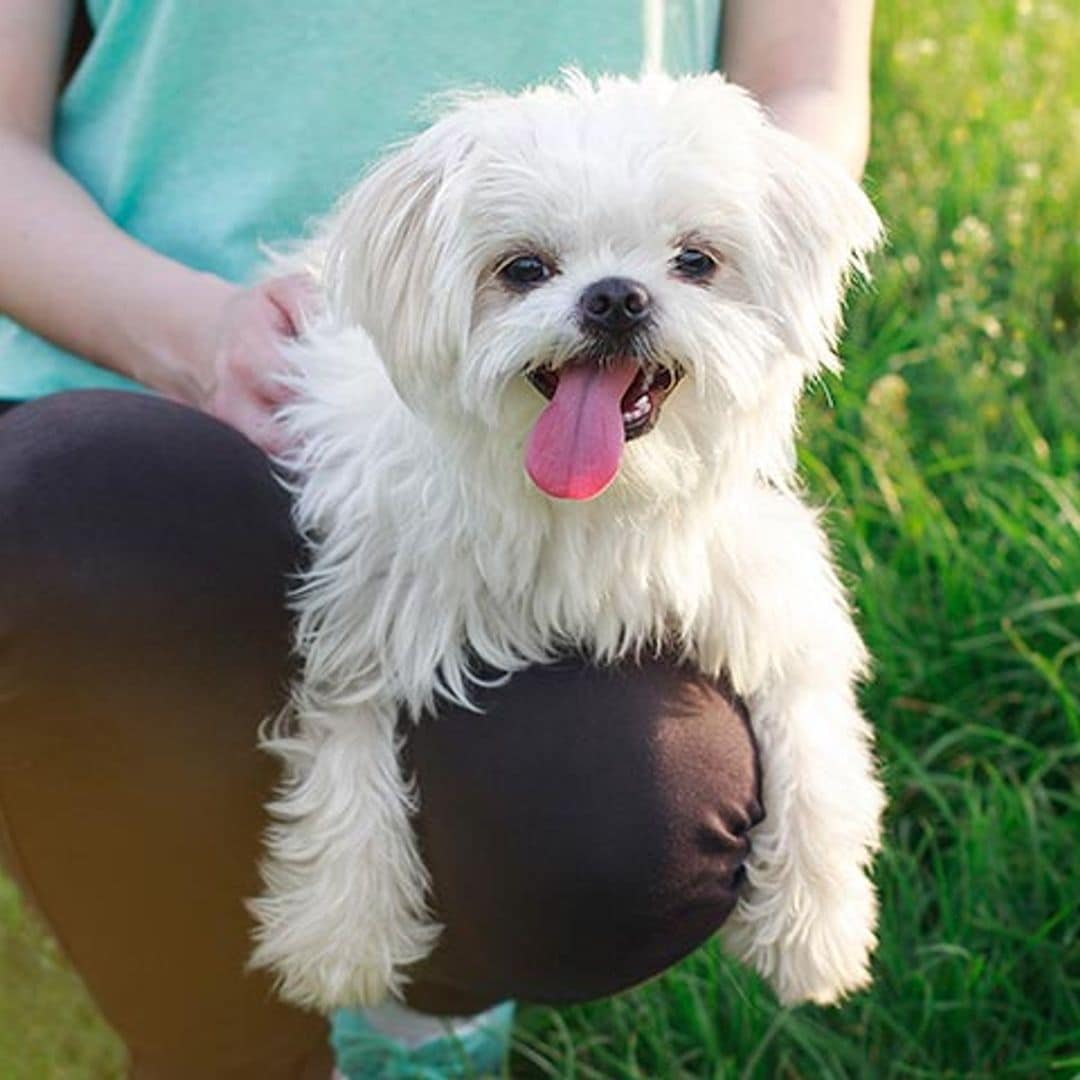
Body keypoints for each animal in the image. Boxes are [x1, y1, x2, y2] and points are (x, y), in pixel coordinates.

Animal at [250, 73, 885, 1010]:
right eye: (523, 269)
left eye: (696, 260)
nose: (616, 296)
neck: (600, 500)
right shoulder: (375, 596)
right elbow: (346, 738)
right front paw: (343, 924)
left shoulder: (762, 585)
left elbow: (816, 742)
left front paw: (817, 923)